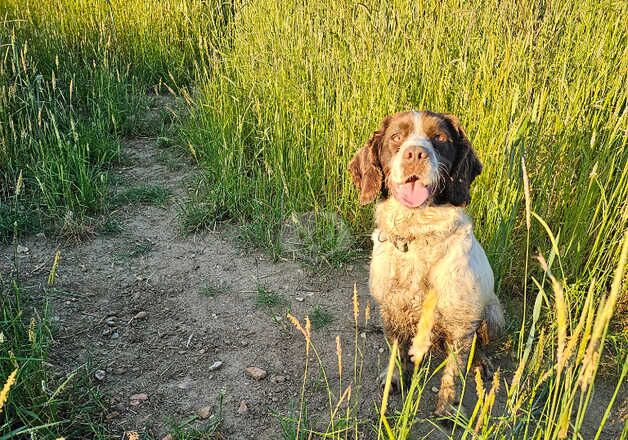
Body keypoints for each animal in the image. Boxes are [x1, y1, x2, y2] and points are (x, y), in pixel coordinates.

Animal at [348, 110, 506, 416]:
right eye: (396, 136)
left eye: (440, 138)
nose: (415, 154)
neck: (417, 236)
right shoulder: (391, 311)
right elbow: (396, 352)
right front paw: (395, 378)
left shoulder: (460, 322)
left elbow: (453, 372)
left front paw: (446, 409)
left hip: (493, 315)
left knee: (478, 344)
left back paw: (481, 362)